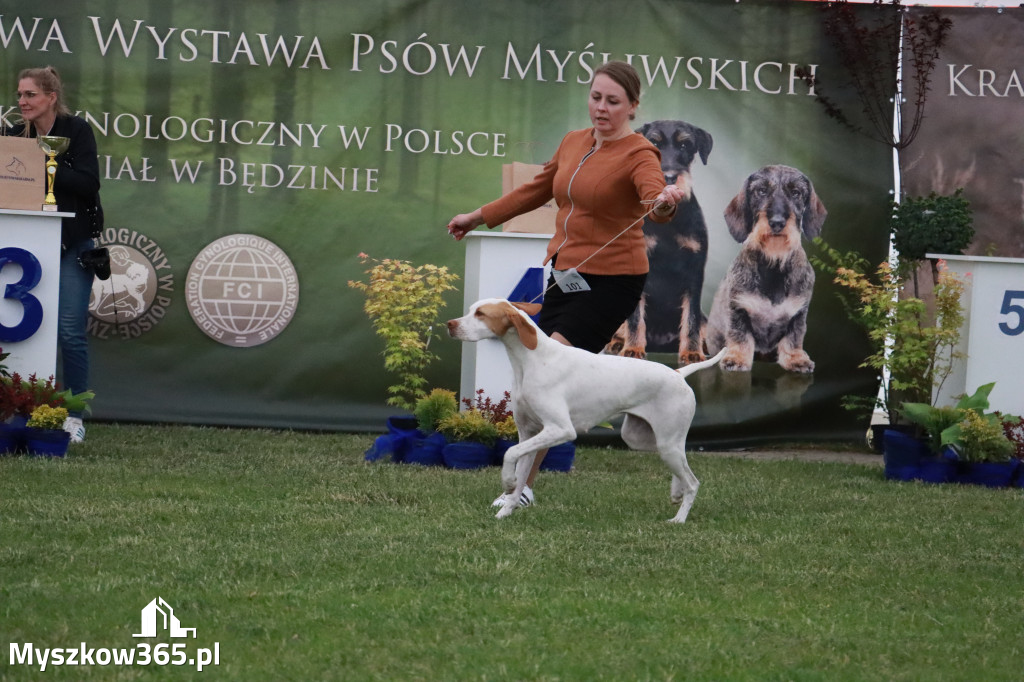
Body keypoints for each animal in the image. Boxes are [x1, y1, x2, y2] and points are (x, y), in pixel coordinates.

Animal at [444, 296, 724, 520]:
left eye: (481, 314)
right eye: (471, 310)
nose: (450, 324)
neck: (531, 360)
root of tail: (678, 373)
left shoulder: (560, 429)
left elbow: (509, 453)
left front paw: (507, 482)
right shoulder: (528, 434)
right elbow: (519, 468)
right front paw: (504, 512)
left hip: (666, 442)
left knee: (693, 482)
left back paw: (679, 519)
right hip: (645, 439)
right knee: (682, 469)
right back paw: (676, 493)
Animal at [708, 163, 827, 372]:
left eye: (796, 193)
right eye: (761, 191)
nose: (777, 222)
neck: (774, 265)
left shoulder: (798, 313)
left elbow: (793, 338)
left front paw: (796, 358)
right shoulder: (738, 308)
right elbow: (740, 335)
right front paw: (737, 358)